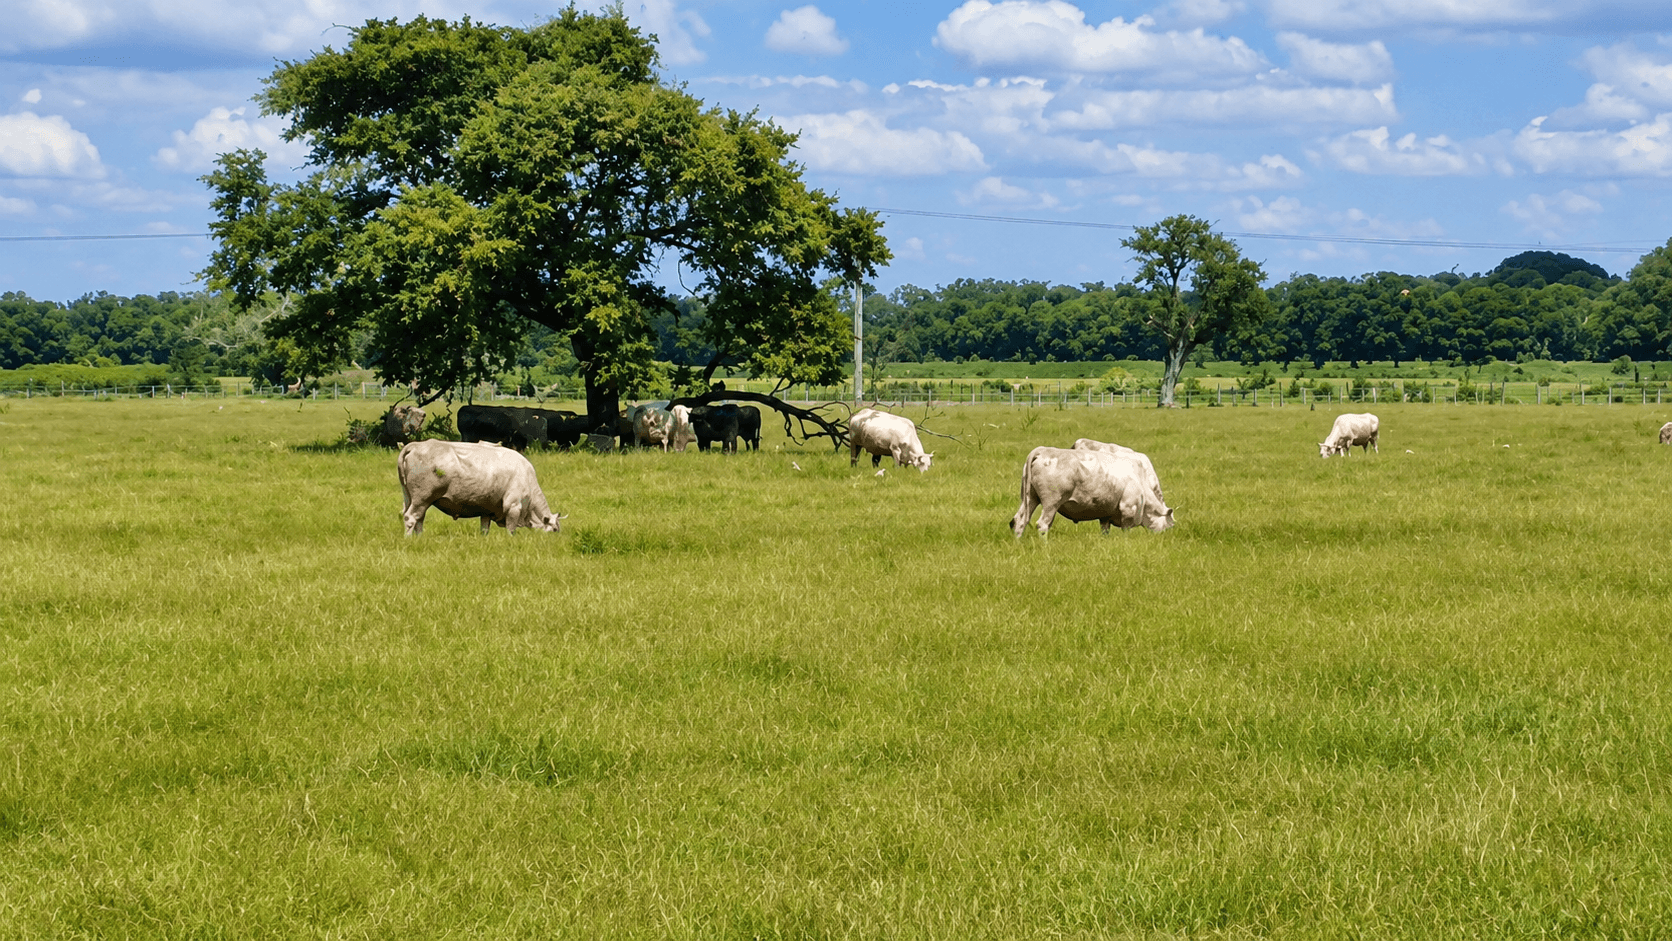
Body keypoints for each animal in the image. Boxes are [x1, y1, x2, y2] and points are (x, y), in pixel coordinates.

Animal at [397, 440, 563, 536]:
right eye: (555, 530)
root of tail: (416, 444)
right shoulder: (513, 507)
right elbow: (511, 530)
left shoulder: (487, 511)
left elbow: (484, 530)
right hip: (422, 498)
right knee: (411, 518)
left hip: (411, 498)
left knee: (418, 518)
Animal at [1011, 446, 1174, 538]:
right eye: (1170, 524)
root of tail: (1042, 450)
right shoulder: (1128, 509)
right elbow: (1125, 531)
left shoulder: (1105, 516)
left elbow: (1105, 532)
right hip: (1051, 503)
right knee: (1042, 525)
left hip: (1030, 498)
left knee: (1019, 521)